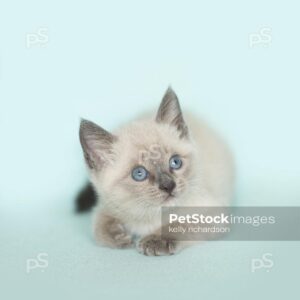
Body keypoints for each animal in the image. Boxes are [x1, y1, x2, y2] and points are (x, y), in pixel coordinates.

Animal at [78, 88, 233, 256]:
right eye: (139, 173)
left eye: (175, 162)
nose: (168, 185)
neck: (150, 217)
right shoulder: (105, 205)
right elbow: (99, 226)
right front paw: (119, 236)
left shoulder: (214, 213)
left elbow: (180, 224)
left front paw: (155, 240)